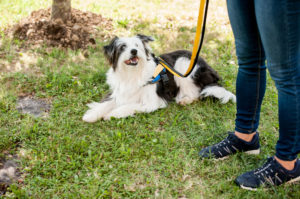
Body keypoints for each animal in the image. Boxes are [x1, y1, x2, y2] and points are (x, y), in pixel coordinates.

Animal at [82, 34, 237, 122]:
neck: (132, 73)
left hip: (183, 65)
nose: (134, 51)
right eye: (123, 47)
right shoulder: (119, 92)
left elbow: (129, 106)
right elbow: (106, 103)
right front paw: (91, 115)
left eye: (137, 45)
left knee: (196, 93)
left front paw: (113, 114)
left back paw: (185, 99)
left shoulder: (152, 101)